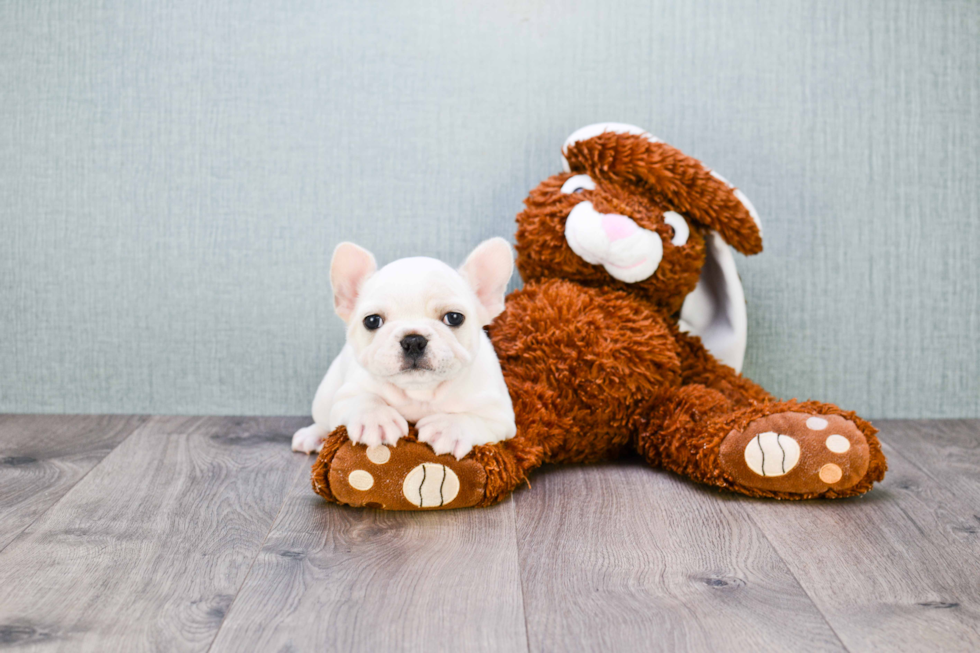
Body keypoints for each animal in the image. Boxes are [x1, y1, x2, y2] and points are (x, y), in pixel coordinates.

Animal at [290, 238, 516, 458]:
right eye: (372, 321)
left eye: (454, 317)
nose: (413, 340)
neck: (419, 394)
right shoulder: (346, 395)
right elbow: (363, 398)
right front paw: (376, 418)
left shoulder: (500, 416)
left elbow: (473, 418)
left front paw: (449, 428)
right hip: (325, 396)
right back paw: (313, 435)